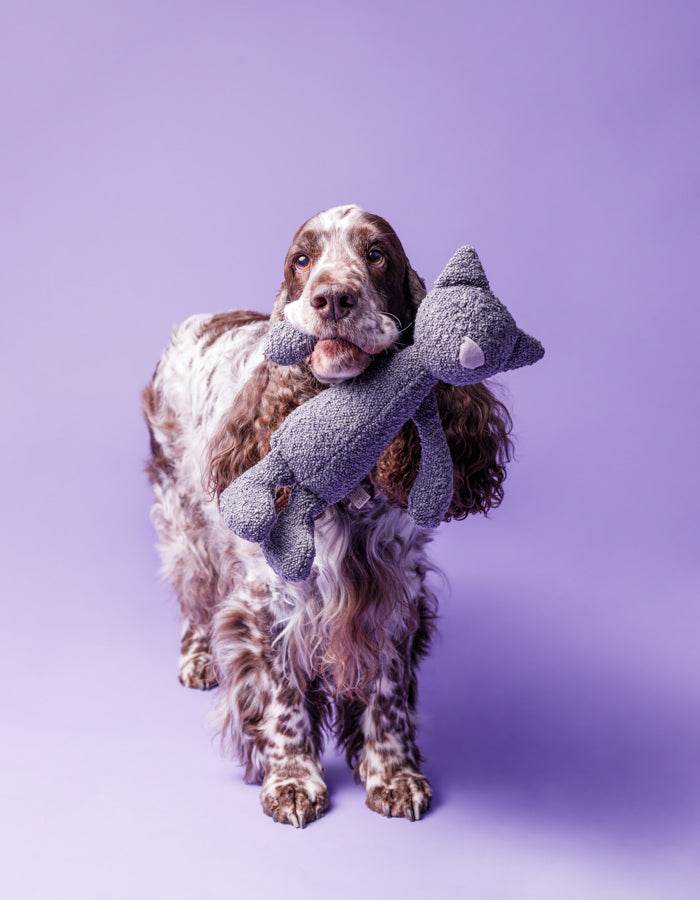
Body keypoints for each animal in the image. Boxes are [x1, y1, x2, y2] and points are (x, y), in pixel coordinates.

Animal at [144, 206, 516, 828]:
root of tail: (204, 319)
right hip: (182, 515)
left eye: (377, 254)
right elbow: (283, 697)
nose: (333, 298)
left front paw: (393, 774)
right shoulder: (271, 599)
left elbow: (388, 695)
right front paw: (293, 781)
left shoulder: (395, 589)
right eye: (302, 260)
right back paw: (197, 659)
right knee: (193, 591)